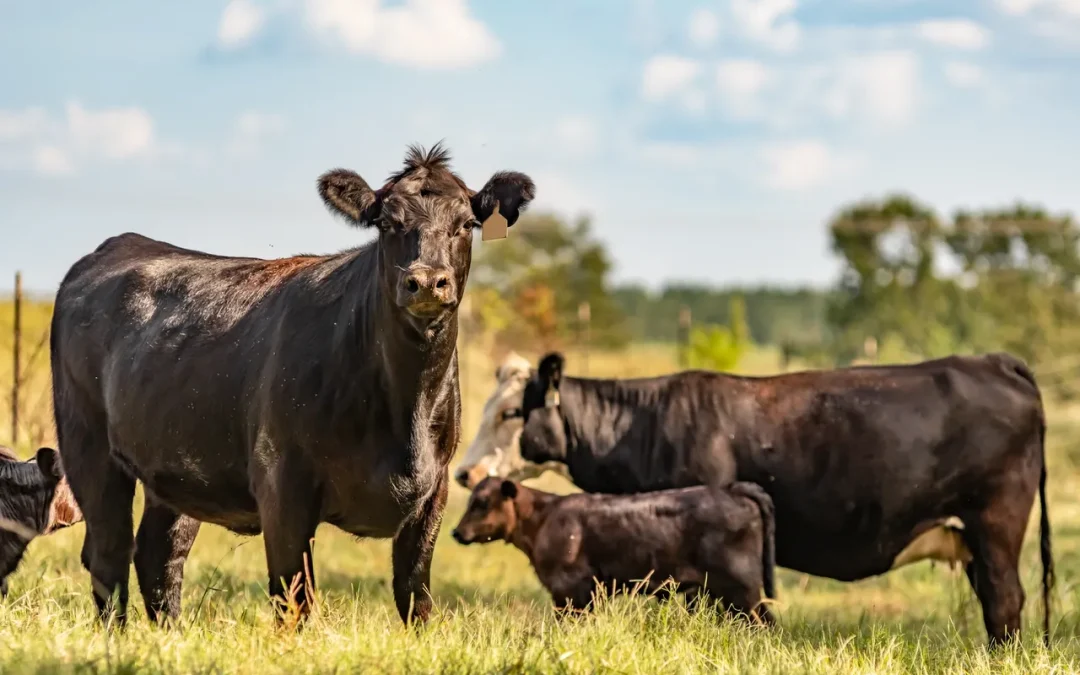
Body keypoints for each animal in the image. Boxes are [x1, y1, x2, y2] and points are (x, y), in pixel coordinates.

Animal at [49, 142, 535, 626]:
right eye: (387, 223)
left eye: (466, 224)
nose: (428, 281)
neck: (404, 409)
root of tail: (120, 245)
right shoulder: (282, 485)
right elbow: (294, 598)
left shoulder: (434, 491)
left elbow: (416, 597)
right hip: (88, 443)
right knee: (109, 552)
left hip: (176, 465)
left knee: (159, 554)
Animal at [449, 477, 777, 622]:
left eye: (482, 503)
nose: (456, 532)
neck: (544, 517)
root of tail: (731, 489)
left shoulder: (572, 590)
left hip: (741, 589)